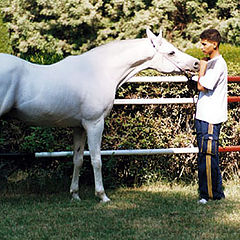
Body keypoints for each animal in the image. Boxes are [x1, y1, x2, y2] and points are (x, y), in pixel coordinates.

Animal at [0, 28, 199, 202]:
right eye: (171, 52)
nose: (196, 63)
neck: (99, 71)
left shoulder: (79, 127)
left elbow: (78, 159)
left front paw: (75, 195)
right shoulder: (94, 124)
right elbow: (96, 160)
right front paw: (102, 196)